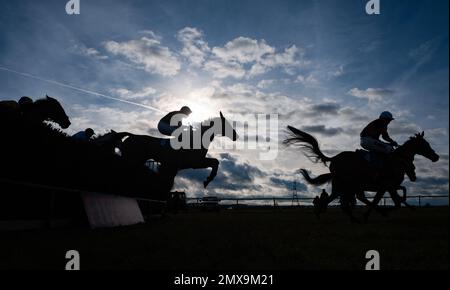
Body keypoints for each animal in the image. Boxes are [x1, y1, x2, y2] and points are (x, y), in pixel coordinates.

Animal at [284, 126, 440, 222]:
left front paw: (374, 213)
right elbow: (394, 203)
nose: (436, 157)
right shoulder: (388, 185)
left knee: (337, 199)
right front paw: (383, 212)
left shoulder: (386, 187)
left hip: (344, 185)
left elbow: (386, 199)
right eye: (425, 144)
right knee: (344, 201)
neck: (397, 160)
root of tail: (333, 158)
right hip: (347, 184)